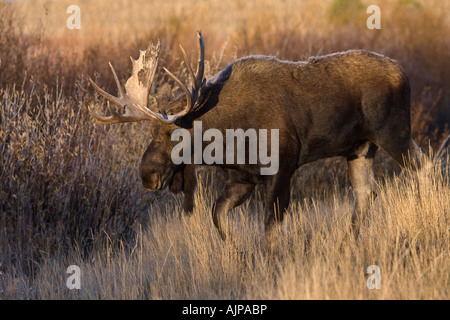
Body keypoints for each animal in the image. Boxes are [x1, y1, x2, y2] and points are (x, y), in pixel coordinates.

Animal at [89, 31, 426, 249]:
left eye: (175, 133)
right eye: (150, 133)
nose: (147, 175)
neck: (227, 137)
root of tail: (405, 73)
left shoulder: (283, 167)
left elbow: (270, 227)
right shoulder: (243, 178)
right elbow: (218, 217)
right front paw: (235, 254)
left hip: (393, 131)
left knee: (423, 165)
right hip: (359, 147)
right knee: (366, 192)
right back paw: (348, 243)